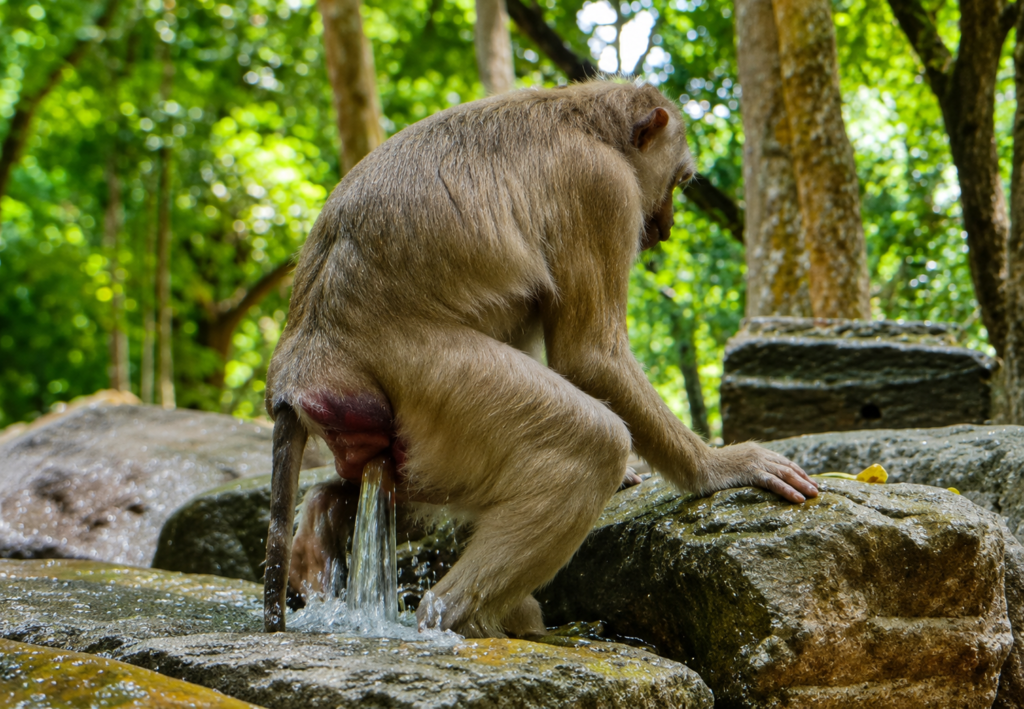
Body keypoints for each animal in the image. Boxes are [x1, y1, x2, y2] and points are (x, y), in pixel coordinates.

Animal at [262, 80, 818, 638]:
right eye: (680, 181)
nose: (665, 226)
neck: (593, 123)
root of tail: (297, 372)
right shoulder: (602, 187)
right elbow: (590, 357)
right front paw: (721, 466)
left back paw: (321, 527)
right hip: (432, 378)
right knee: (591, 442)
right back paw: (460, 617)